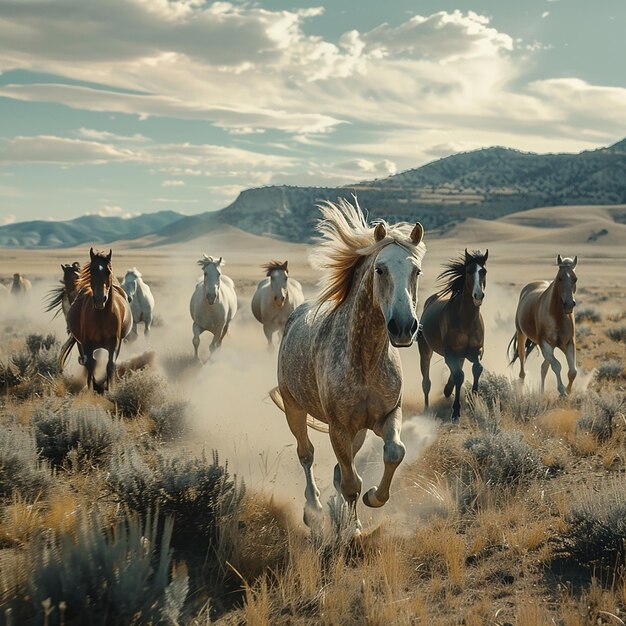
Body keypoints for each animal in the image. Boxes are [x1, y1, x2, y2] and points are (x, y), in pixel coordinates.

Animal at [58, 247, 132, 390]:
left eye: (108, 271)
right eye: (92, 271)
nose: (99, 299)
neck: (101, 317)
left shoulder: (115, 344)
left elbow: (110, 366)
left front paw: (110, 389)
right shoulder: (86, 344)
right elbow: (90, 365)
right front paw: (91, 389)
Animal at [416, 249, 490, 420]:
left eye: (483, 271)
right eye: (469, 271)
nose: (478, 295)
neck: (466, 320)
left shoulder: (476, 351)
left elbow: (477, 368)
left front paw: (474, 402)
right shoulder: (450, 352)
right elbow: (459, 376)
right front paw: (456, 412)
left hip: (460, 355)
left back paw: (447, 390)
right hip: (425, 351)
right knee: (426, 382)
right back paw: (427, 411)